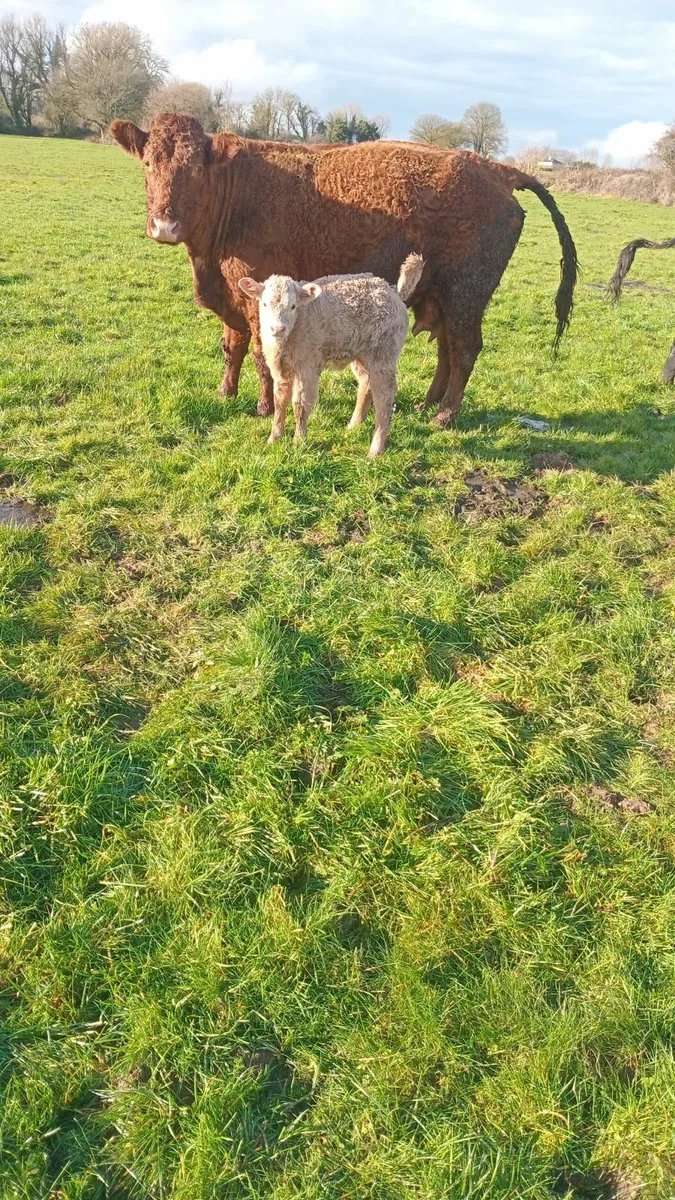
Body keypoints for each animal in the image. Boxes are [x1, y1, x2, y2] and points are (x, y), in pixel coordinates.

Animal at [111, 113, 578, 427]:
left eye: (193, 168)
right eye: (148, 164)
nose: (164, 226)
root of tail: (495, 170)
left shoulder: (257, 293)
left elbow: (261, 354)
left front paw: (264, 408)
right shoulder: (232, 292)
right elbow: (233, 347)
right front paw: (226, 394)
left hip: (466, 295)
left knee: (464, 350)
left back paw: (444, 416)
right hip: (445, 299)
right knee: (447, 349)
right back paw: (427, 404)